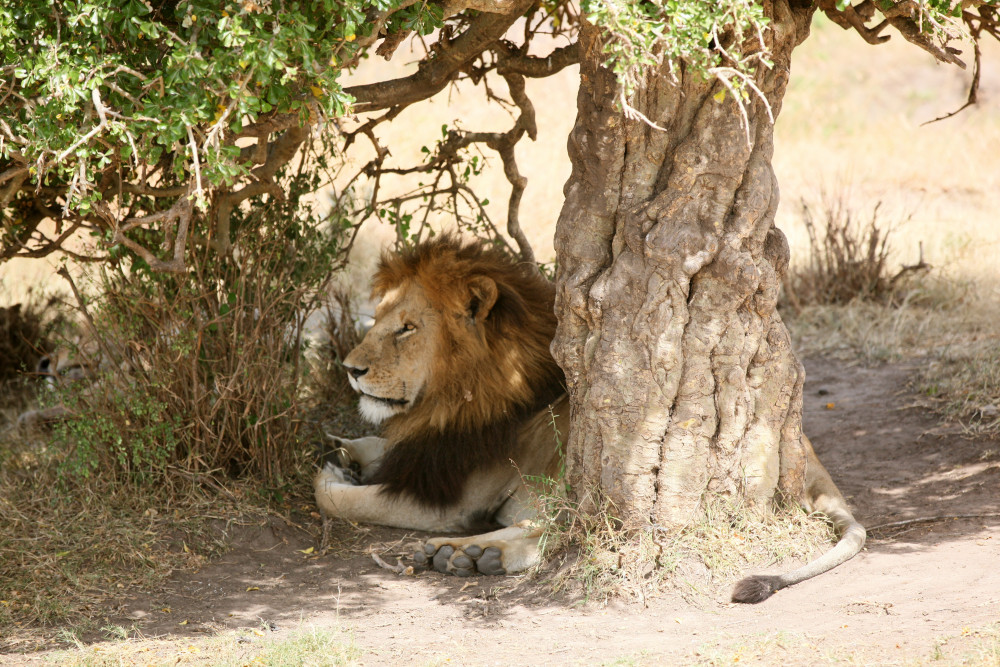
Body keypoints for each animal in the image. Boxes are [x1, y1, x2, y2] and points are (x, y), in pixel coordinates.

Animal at [316, 236, 864, 600]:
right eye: (375, 320)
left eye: (406, 329)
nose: (350, 369)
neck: (454, 396)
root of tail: (806, 456)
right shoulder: (427, 445)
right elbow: (376, 445)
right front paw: (340, 448)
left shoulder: (453, 500)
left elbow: (338, 498)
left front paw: (332, 470)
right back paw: (472, 556)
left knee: (574, 531)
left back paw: (466, 554)